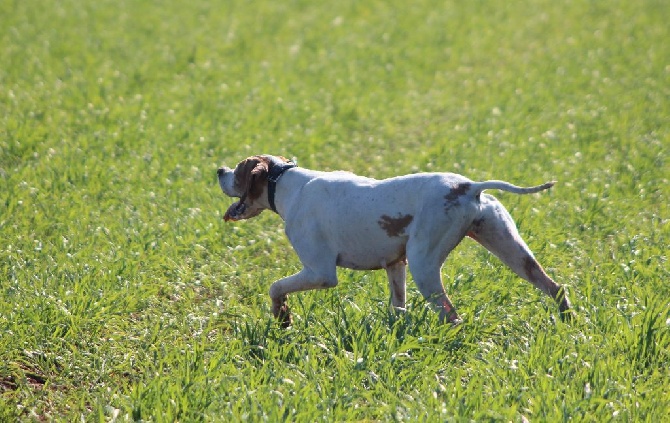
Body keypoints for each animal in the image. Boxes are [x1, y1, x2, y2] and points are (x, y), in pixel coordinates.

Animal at [218, 156, 576, 328]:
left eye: (238, 169)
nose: (218, 169)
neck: (287, 184)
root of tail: (469, 186)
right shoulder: (395, 265)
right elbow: (398, 307)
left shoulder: (320, 273)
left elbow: (275, 287)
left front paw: (282, 317)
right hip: (511, 250)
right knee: (555, 287)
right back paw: (569, 323)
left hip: (424, 264)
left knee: (452, 315)